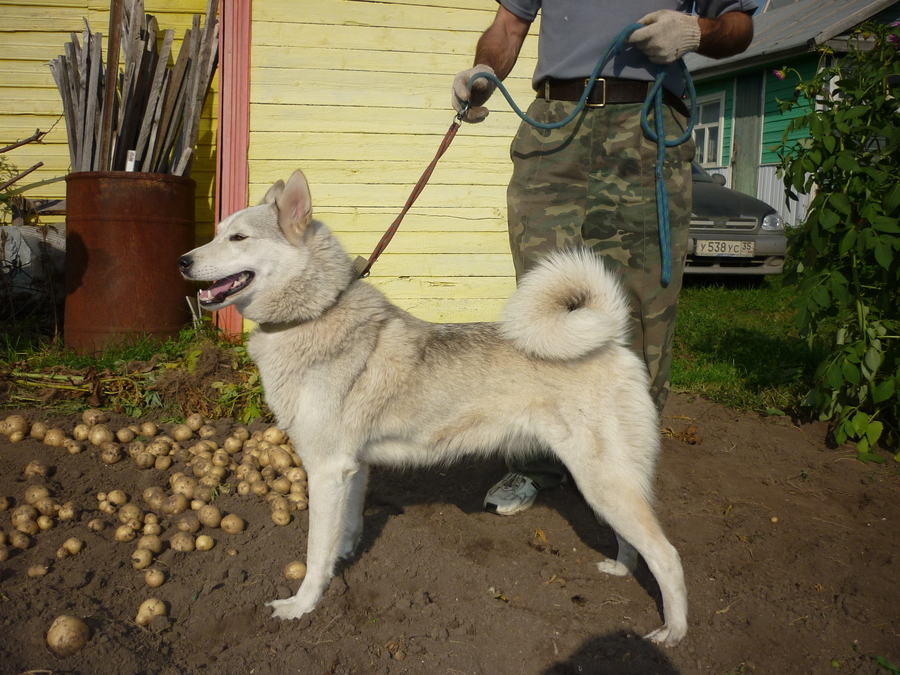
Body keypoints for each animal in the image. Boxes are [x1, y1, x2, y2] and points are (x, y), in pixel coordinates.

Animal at [178, 170, 688, 648]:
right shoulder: (351, 469)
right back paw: (621, 570)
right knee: (633, 541)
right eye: (217, 231)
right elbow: (345, 529)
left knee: (668, 556)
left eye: (238, 238)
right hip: (607, 485)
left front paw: (302, 605)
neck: (314, 315)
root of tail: (613, 341)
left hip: (602, 481)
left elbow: (314, 551)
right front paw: (344, 559)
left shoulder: (326, 469)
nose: (183, 260)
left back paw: (673, 632)